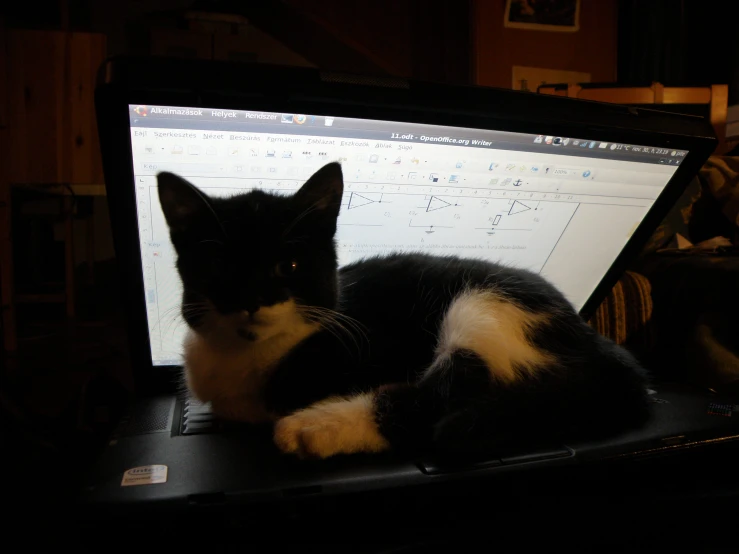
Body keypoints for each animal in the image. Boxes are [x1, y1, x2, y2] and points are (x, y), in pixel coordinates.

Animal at [158, 163, 652, 458]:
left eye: (290, 266)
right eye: (219, 265)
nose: (251, 299)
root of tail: (600, 343)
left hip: (486, 305)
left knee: (437, 397)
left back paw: (316, 426)